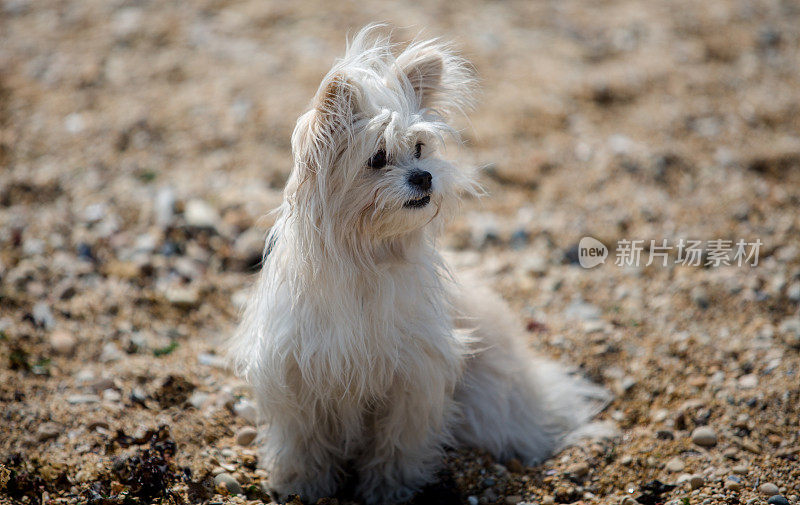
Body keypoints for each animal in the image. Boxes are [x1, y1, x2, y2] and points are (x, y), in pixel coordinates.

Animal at [231, 25, 612, 502]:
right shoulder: (297, 377)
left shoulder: (413, 380)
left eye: (418, 148)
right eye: (376, 158)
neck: (368, 258)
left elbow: (397, 442)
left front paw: (389, 489)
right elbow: (303, 441)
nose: (424, 176)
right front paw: (302, 484)